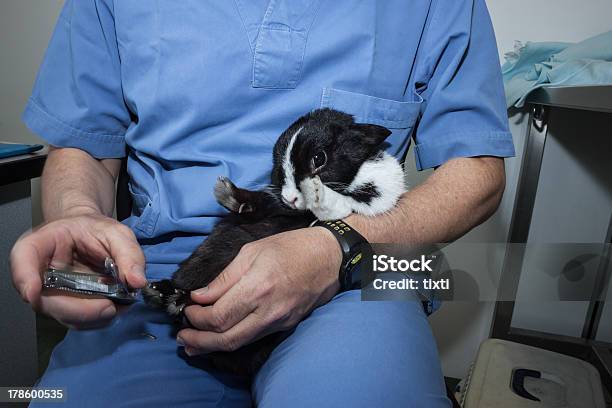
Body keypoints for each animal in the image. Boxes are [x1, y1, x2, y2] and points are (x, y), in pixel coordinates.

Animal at [143, 108, 406, 376]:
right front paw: (227, 193)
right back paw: (163, 293)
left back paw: (173, 300)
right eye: (279, 168)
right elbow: (263, 203)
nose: (291, 198)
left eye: (319, 158)